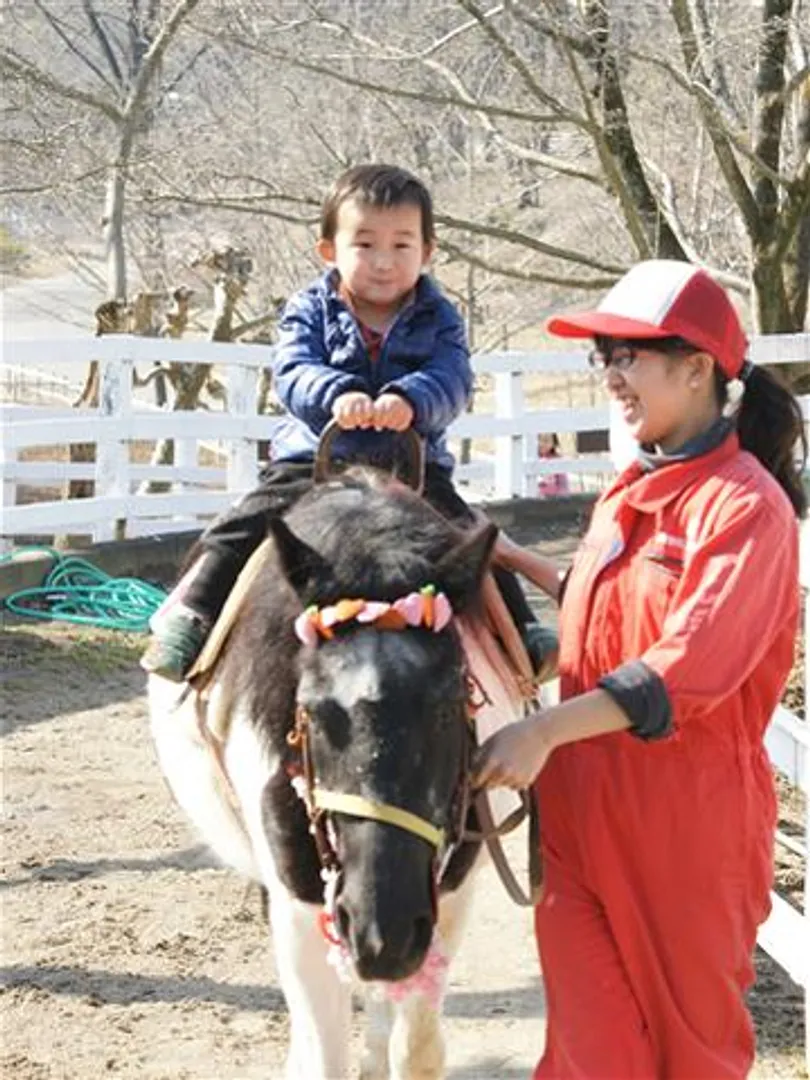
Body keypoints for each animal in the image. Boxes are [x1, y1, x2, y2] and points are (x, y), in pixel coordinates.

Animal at [147, 466, 530, 1080]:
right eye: (311, 709)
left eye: (448, 706)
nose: (382, 933)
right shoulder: (300, 910)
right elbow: (322, 1056)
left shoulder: (448, 898)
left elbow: (417, 1050)